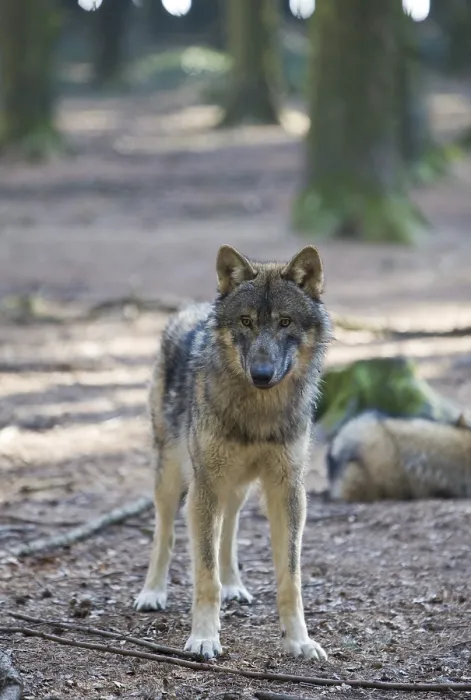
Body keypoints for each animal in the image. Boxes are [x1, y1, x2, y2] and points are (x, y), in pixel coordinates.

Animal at [134, 244, 332, 661]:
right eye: (245, 321)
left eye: (285, 322)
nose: (261, 374)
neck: (258, 413)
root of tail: (192, 307)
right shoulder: (205, 485)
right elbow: (204, 575)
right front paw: (204, 638)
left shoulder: (287, 490)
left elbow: (290, 579)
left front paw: (299, 642)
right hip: (173, 478)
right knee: (165, 534)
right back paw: (152, 593)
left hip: (237, 487)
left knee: (229, 529)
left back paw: (234, 586)